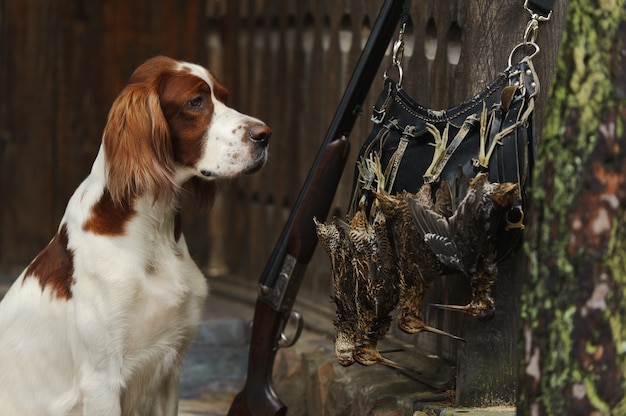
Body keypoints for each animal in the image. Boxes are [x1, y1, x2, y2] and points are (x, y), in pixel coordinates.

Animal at [0, 56, 270, 416]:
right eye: (195, 102)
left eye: (224, 97)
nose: (265, 135)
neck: (153, 233)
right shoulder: (101, 379)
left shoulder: (170, 369)